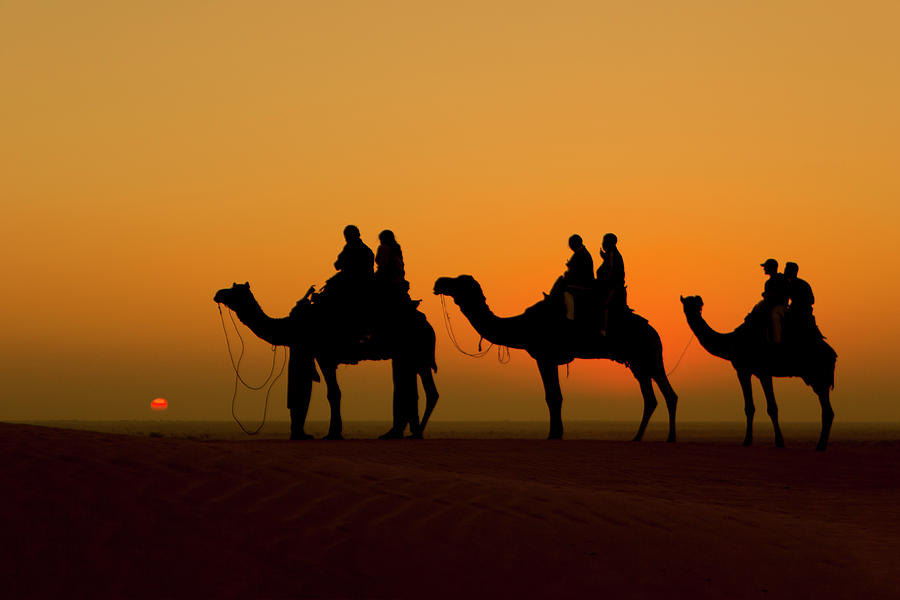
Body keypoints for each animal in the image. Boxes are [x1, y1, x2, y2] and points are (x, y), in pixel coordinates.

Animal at [211, 282, 436, 440]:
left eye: (235, 290)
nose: (218, 293)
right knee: (420, 390)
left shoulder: (324, 355)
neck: (292, 325)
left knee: (417, 390)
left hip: (412, 352)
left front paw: (333, 433)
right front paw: (331, 431)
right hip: (411, 356)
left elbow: (333, 393)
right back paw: (406, 432)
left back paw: (413, 432)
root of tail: (428, 325)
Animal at [432, 276, 680, 440]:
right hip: (639, 362)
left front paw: (554, 434)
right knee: (653, 397)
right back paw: (640, 437)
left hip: (648, 356)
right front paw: (557, 432)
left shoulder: (545, 356)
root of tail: (655, 332)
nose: (439, 282)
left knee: (667, 394)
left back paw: (667, 437)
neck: (523, 326)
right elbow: (554, 396)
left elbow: (553, 397)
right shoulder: (547, 358)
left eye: (458, 281)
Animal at [684, 296, 836, 450]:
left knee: (827, 410)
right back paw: (821, 444)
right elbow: (751, 407)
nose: (691, 313)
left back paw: (820, 445)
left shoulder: (758, 371)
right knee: (827, 410)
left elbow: (770, 408)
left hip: (818, 375)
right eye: (686, 305)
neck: (733, 342)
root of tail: (832, 354)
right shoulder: (747, 371)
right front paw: (749, 440)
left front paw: (777, 441)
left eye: (697, 305)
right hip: (814, 378)